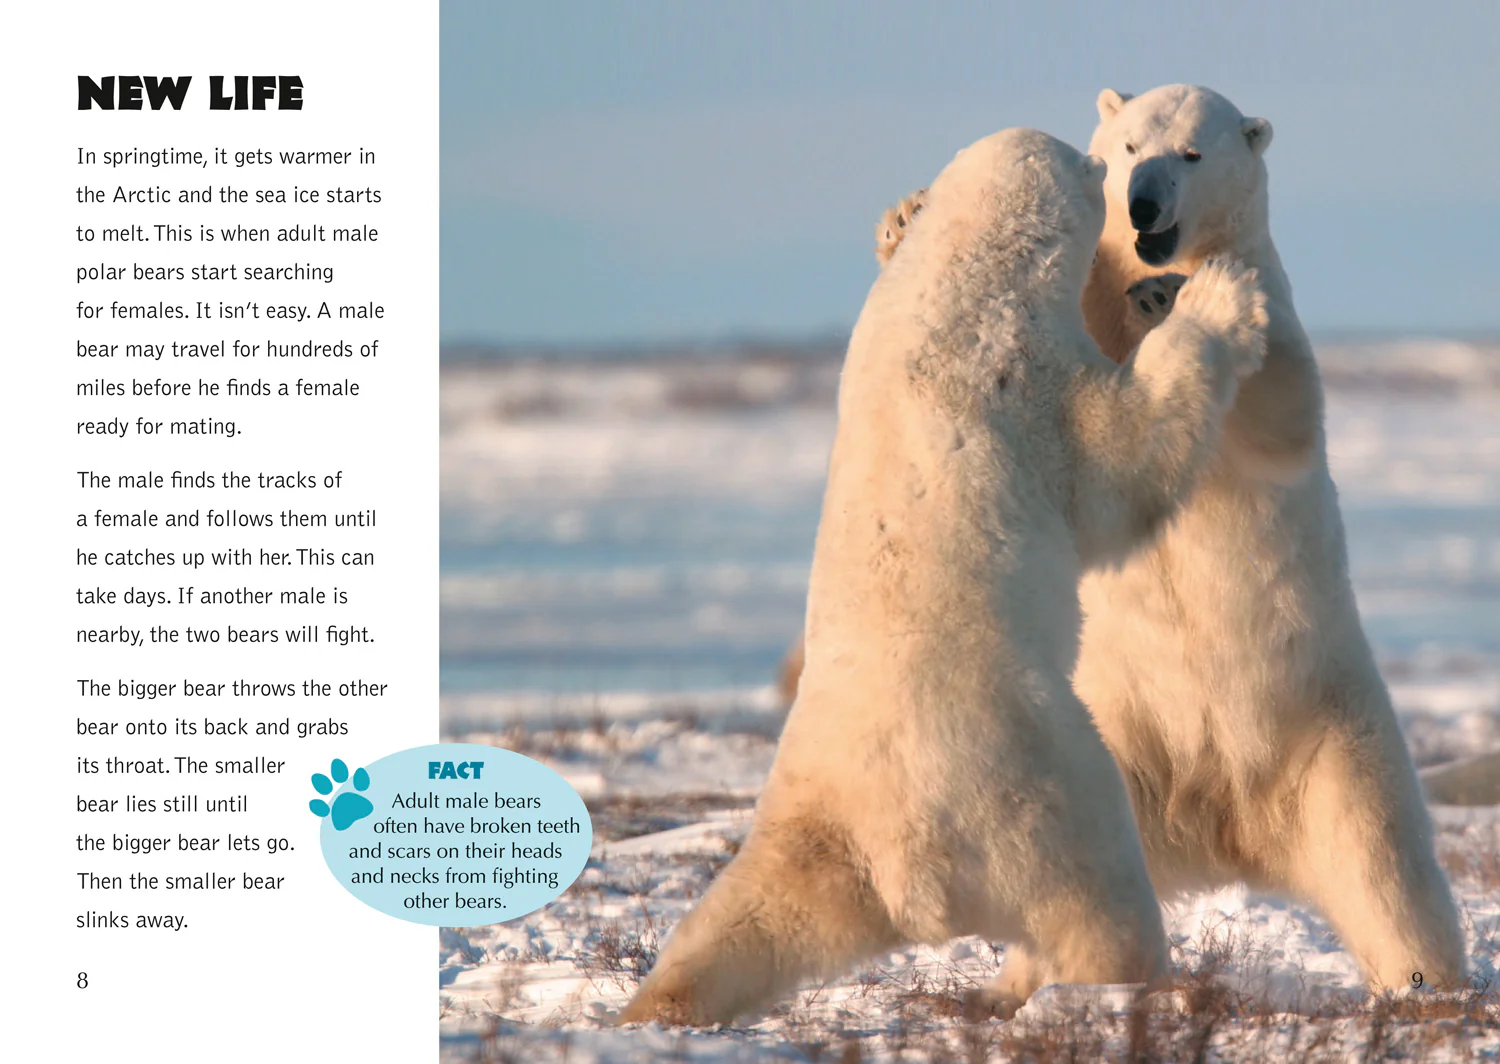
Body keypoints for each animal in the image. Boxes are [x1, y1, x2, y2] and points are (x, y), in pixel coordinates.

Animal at [618, 127, 1269, 1027]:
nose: (1129, 183)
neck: (960, 268)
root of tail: (907, 870)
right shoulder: (1022, 372)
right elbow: (1123, 459)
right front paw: (1217, 298)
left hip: (813, 815)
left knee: (746, 918)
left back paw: (654, 1005)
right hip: (1034, 771)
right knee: (1098, 886)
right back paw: (1125, 981)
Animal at [852, 84, 1467, 999]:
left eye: (1193, 154)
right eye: (1130, 144)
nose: (1143, 204)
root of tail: (1223, 823)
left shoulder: (1273, 298)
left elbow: (1279, 412)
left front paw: (1179, 303)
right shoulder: (1088, 305)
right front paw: (904, 218)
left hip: (1334, 733)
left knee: (1388, 875)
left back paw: (1431, 984)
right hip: (1123, 750)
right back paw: (1019, 984)